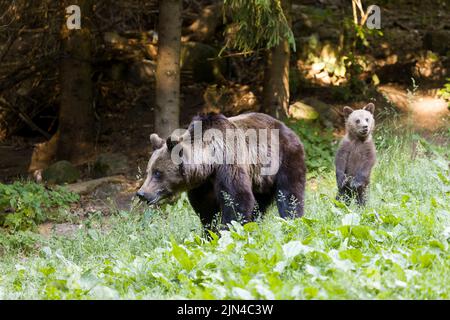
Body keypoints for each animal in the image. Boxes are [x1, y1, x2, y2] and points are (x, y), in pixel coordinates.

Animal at [136, 112, 306, 228]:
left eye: (158, 173)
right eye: (148, 171)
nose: (141, 193)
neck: (210, 163)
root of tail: (287, 128)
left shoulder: (229, 164)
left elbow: (237, 200)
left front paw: (227, 231)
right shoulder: (203, 184)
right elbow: (206, 209)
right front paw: (209, 233)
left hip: (283, 159)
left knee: (289, 195)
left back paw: (291, 221)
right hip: (260, 178)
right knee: (259, 204)